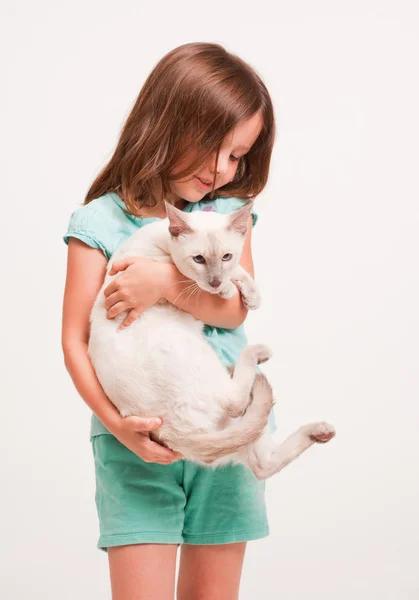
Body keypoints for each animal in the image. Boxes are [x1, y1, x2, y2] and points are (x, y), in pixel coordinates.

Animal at [88, 199, 334, 480]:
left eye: (226, 256)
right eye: (199, 259)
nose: (216, 282)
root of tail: (167, 432)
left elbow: (240, 271)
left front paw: (251, 297)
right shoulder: (170, 274)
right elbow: (194, 279)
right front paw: (228, 291)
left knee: (264, 464)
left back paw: (322, 430)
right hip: (191, 352)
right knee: (236, 403)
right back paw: (256, 354)